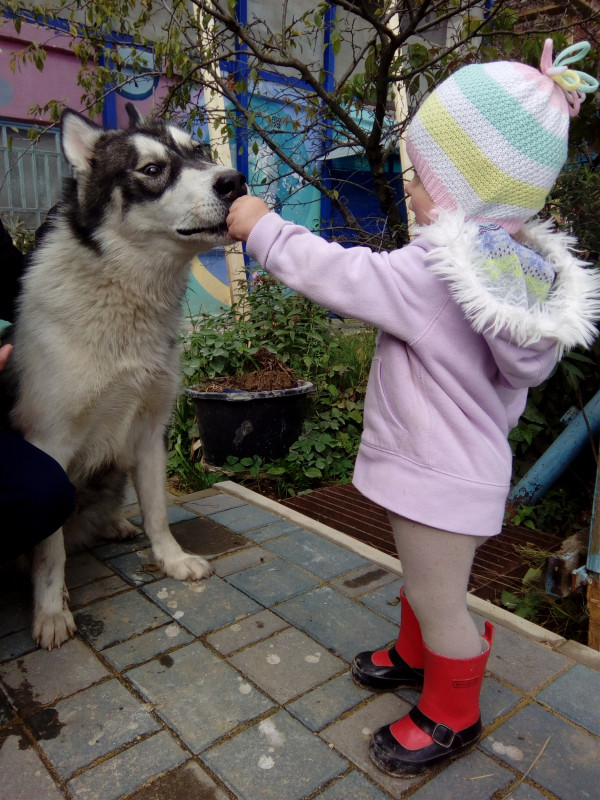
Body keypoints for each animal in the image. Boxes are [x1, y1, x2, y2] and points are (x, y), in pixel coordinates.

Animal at [7, 108, 246, 648]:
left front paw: (172, 560)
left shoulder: (150, 430)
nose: (235, 181)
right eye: (152, 170)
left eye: (199, 150)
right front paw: (51, 610)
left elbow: (157, 510)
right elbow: (50, 553)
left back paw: (113, 524)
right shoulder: (49, 442)